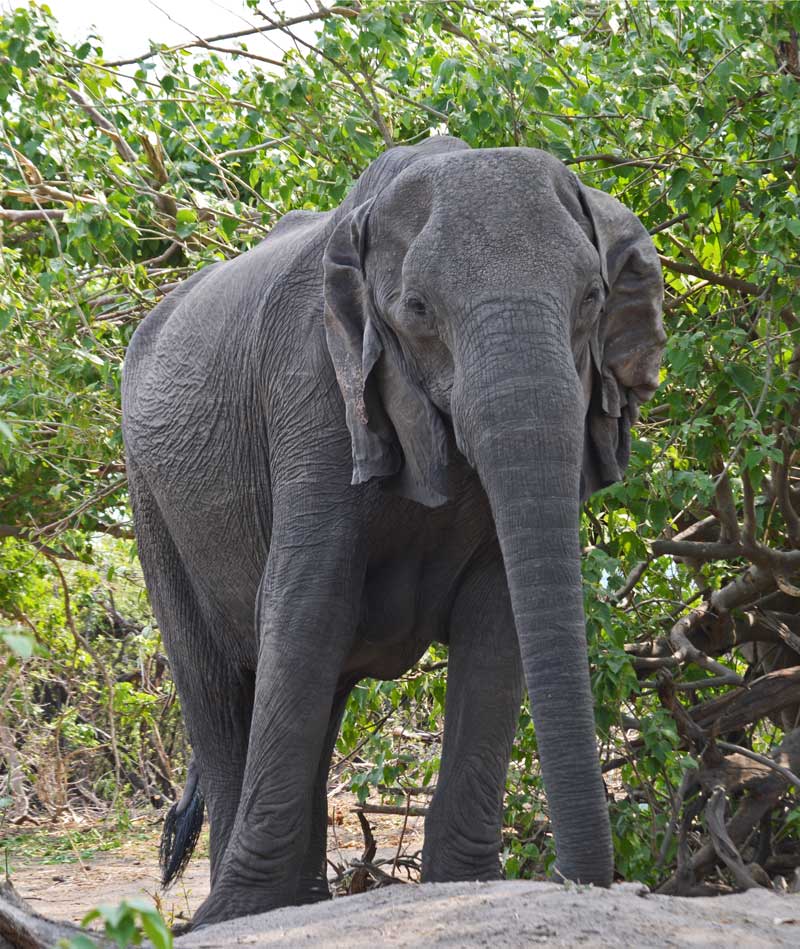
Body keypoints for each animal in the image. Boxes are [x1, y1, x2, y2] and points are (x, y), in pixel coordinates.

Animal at [121, 134, 665, 928]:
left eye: (592, 299)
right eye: (417, 309)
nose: (584, 880)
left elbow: (497, 616)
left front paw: (464, 882)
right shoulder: (313, 391)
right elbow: (306, 607)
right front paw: (237, 914)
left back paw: (300, 901)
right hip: (150, 498)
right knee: (218, 691)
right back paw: (242, 911)